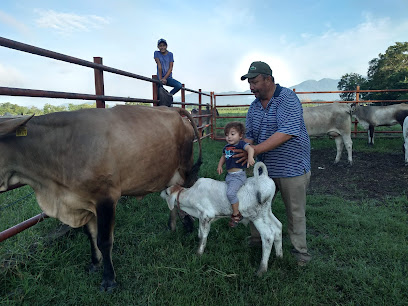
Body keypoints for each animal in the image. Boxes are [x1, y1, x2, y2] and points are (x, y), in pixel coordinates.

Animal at [0, 105, 202, 292]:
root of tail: (174, 110)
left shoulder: (106, 199)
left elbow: (104, 240)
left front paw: (108, 279)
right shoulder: (83, 202)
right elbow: (91, 235)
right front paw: (94, 264)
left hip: (186, 169)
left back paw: (190, 225)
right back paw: (173, 227)